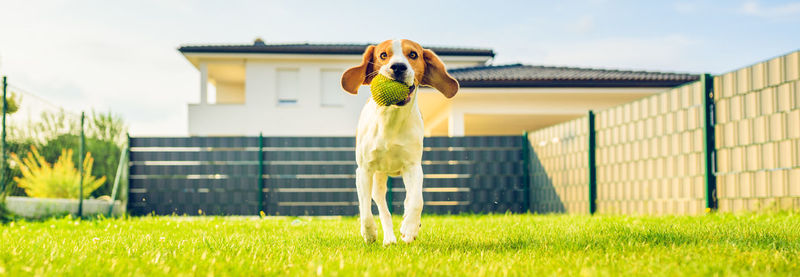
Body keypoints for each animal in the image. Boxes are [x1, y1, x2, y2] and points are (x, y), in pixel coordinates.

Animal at [340, 39, 460, 244]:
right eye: (383, 55)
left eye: (413, 55)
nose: (397, 67)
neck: (391, 120)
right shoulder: (364, 170)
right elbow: (365, 210)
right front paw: (369, 233)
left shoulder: (413, 167)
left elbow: (417, 201)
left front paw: (410, 227)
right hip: (378, 181)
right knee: (382, 209)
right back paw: (388, 238)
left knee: (409, 198)